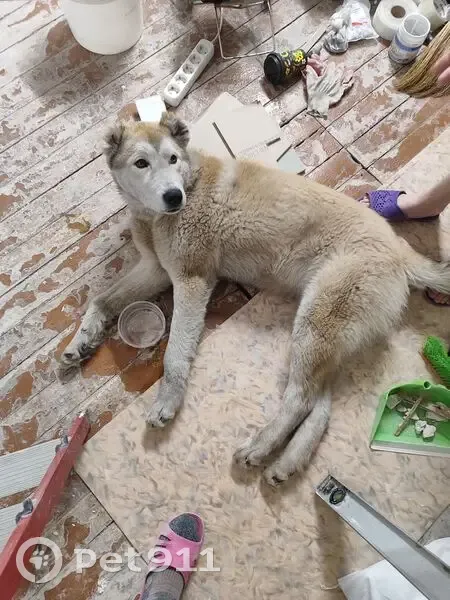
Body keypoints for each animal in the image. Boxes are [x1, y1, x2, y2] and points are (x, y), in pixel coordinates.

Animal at [59, 114, 450, 485]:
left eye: (172, 158)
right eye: (141, 163)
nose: (173, 197)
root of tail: (400, 251)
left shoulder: (190, 280)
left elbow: (174, 356)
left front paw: (167, 403)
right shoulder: (155, 270)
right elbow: (101, 300)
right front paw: (81, 342)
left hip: (314, 326)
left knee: (299, 400)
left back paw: (260, 447)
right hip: (324, 337)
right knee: (319, 407)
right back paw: (286, 464)